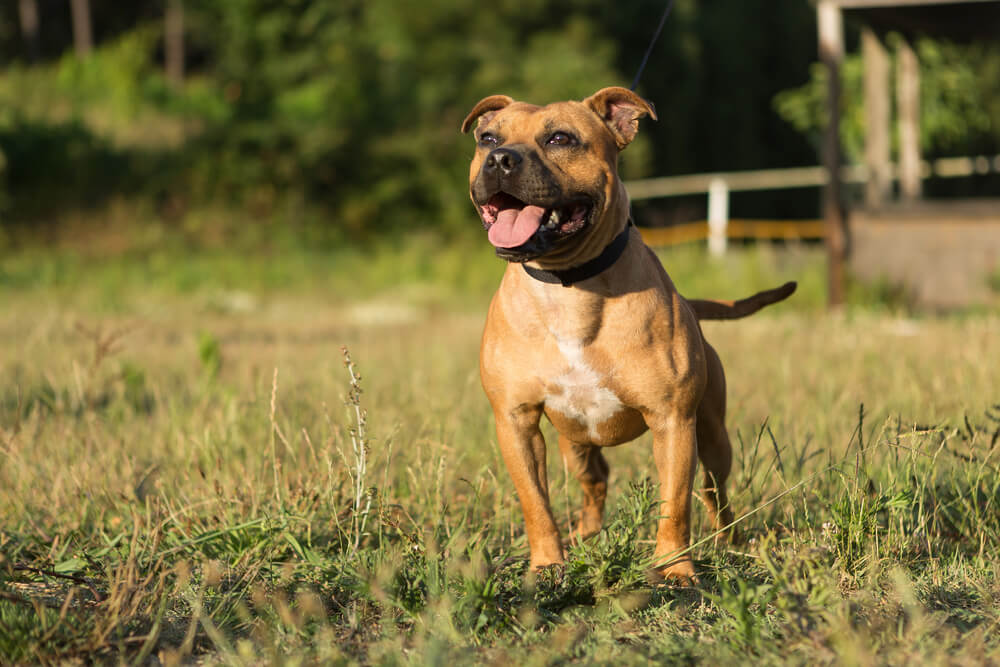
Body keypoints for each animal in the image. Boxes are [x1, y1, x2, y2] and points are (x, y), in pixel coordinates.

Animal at [462, 86, 796, 580]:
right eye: (487, 138)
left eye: (560, 139)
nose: (500, 159)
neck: (569, 286)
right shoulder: (516, 421)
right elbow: (536, 504)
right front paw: (547, 565)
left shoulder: (674, 421)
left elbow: (675, 505)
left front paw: (675, 571)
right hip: (574, 442)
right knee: (595, 480)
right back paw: (585, 536)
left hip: (713, 435)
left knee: (714, 492)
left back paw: (729, 542)